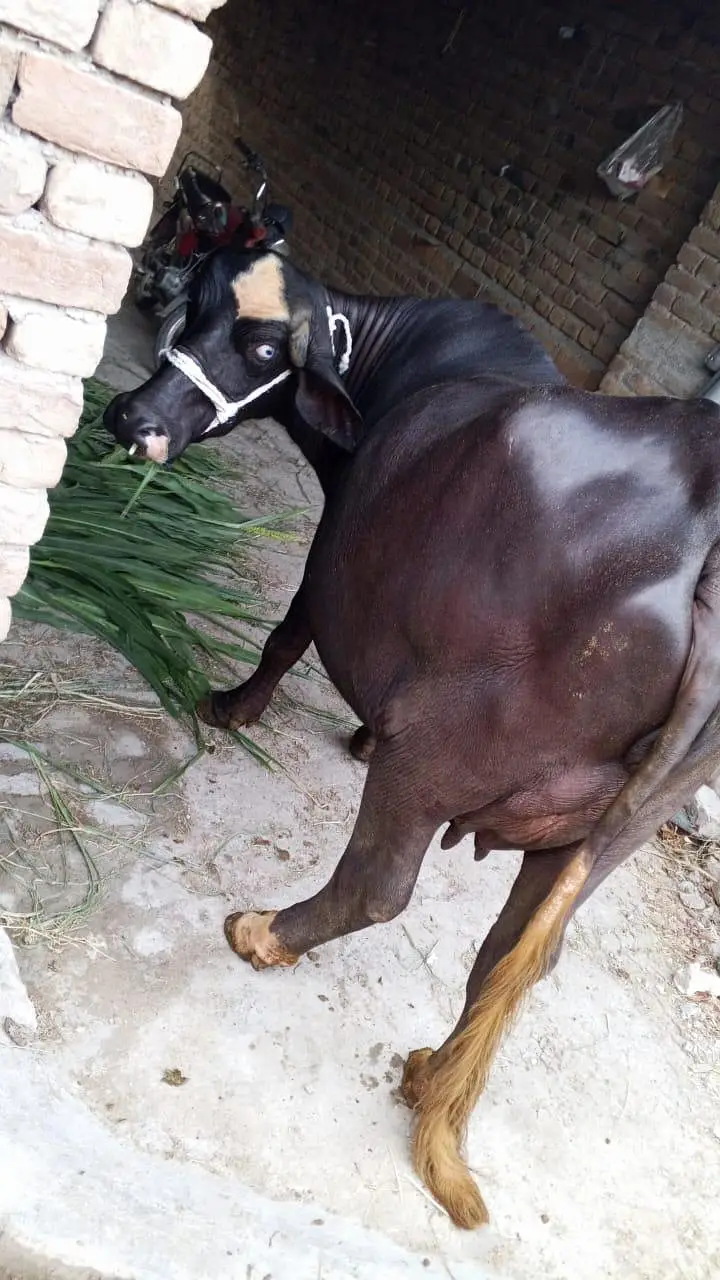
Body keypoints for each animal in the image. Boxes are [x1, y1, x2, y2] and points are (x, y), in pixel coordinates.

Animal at [105, 246, 720, 1229]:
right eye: (192, 306)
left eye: (265, 346)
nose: (137, 419)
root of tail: (703, 542)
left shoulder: (328, 565)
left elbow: (288, 635)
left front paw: (234, 707)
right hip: (616, 827)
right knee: (516, 955)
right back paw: (432, 1073)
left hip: (434, 750)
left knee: (380, 885)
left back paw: (264, 931)